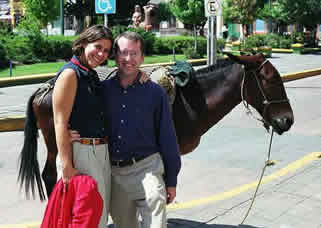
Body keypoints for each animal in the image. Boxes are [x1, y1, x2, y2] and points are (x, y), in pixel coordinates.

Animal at [16, 53, 292, 201]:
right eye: (270, 79)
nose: (288, 120)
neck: (192, 100)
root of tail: (44, 88)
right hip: (56, 140)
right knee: (52, 176)